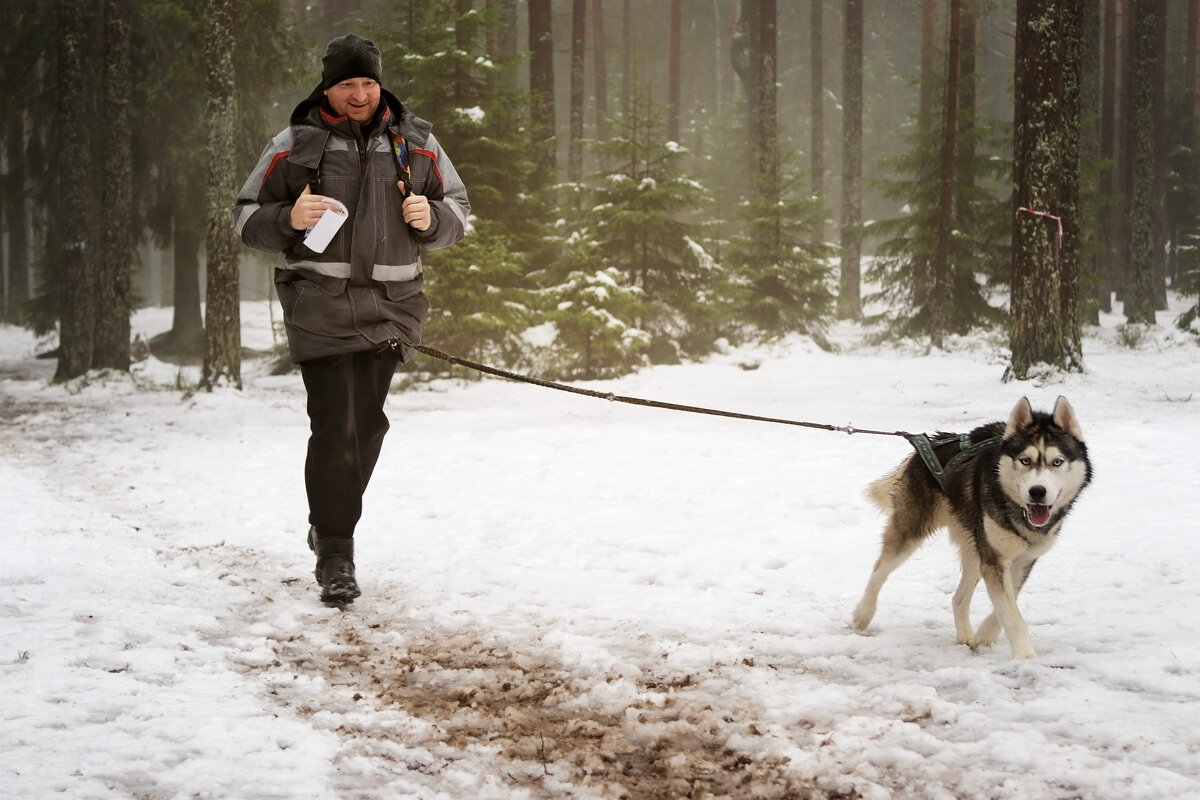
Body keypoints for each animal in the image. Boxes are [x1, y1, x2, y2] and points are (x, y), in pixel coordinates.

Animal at [849, 398, 1094, 662]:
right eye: (1025, 460)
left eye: (1057, 462)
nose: (1037, 491)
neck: (1018, 513)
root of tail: (930, 441)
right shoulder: (995, 559)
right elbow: (1011, 613)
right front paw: (1026, 658)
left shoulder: (1022, 560)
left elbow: (1006, 605)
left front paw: (985, 636)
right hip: (912, 532)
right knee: (879, 571)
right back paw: (863, 614)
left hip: (975, 547)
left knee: (958, 597)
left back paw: (966, 636)